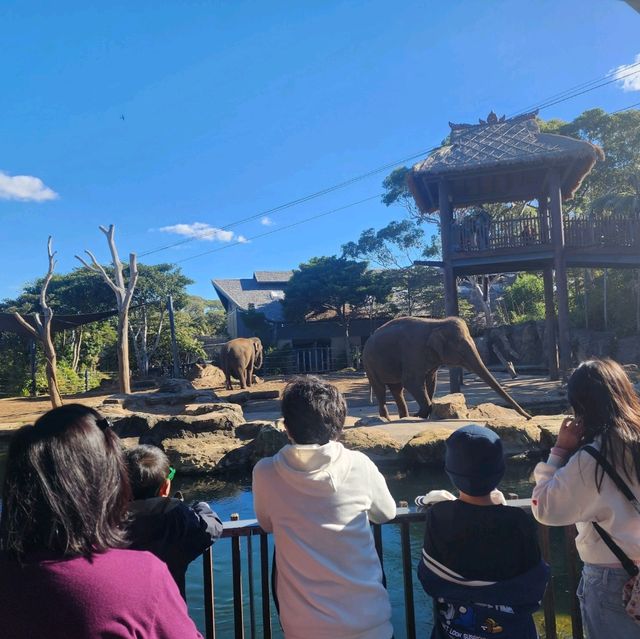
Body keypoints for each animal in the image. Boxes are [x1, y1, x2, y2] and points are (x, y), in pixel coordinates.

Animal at [362, 316, 532, 424]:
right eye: (461, 350)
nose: (529, 417)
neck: (436, 323)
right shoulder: (413, 351)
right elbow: (412, 381)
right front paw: (421, 414)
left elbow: (431, 380)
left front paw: (424, 414)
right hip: (369, 364)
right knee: (380, 388)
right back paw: (387, 419)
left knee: (397, 389)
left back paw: (404, 417)